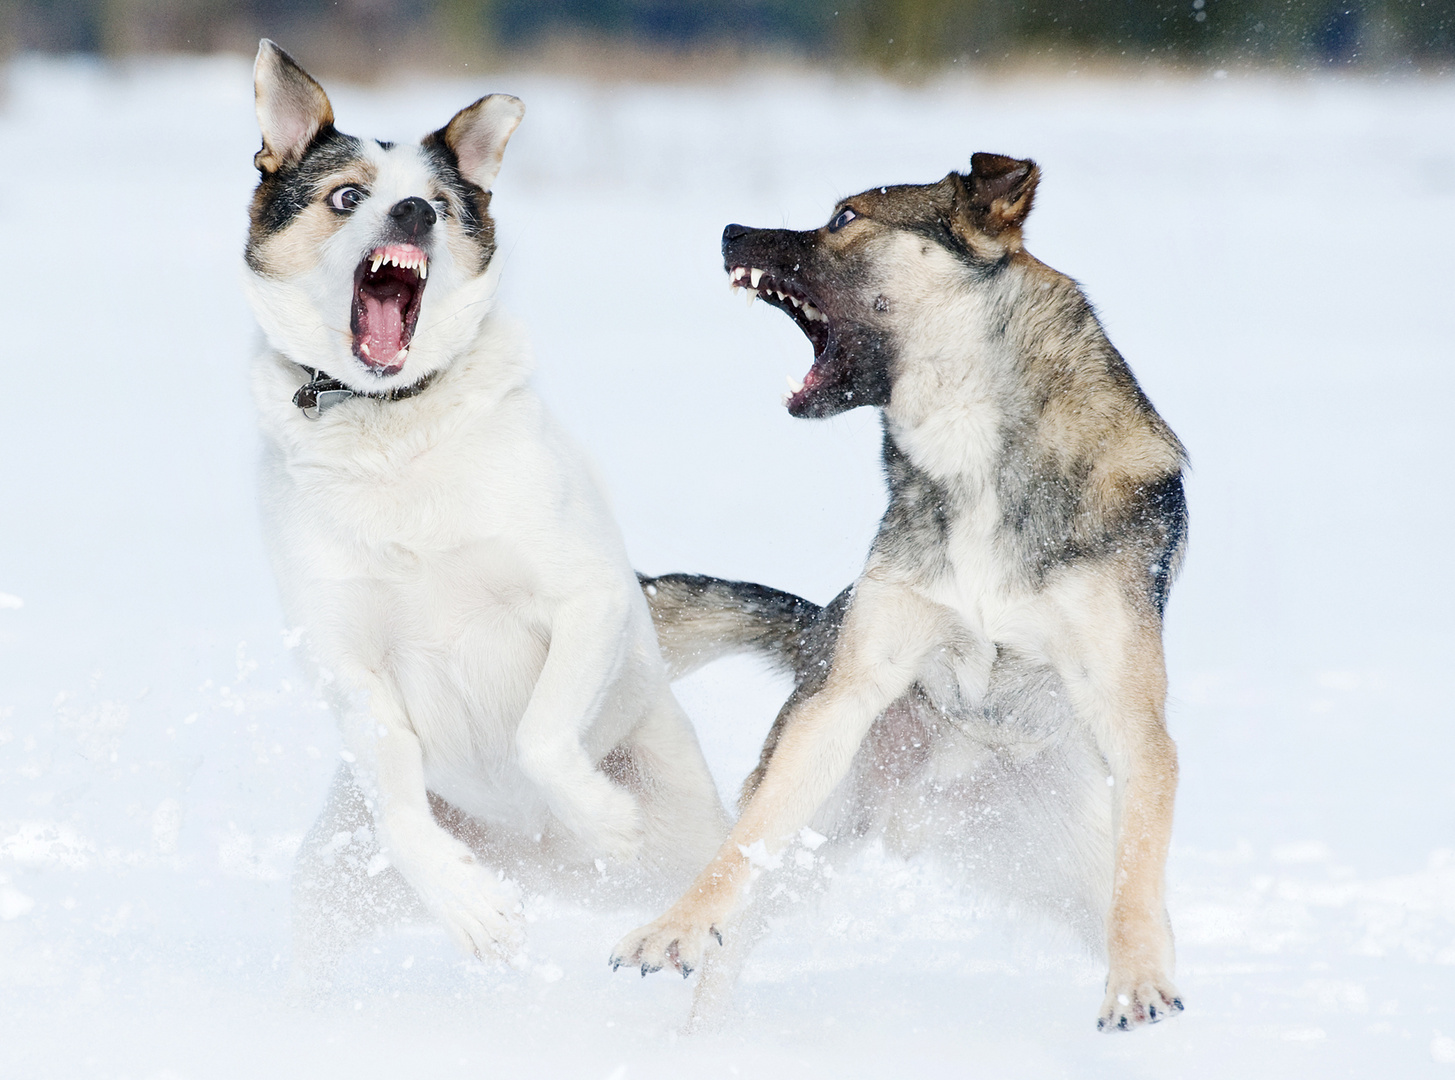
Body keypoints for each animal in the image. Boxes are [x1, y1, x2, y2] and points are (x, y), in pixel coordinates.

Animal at [247, 42, 739, 989]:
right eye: (348, 196)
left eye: (438, 202)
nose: (411, 212)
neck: (394, 430)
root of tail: (536, 862)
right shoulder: (347, 665)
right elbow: (404, 807)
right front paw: (468, 905)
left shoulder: (586, 600)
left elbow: (540, 736)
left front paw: (601, 816)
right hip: (330, 890)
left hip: (693, 851)